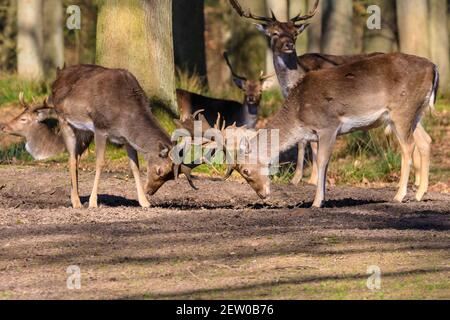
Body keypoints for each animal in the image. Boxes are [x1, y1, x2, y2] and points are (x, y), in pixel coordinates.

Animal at [41, 65, 195, 210]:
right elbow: (100, 163)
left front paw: (144, 202)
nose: (150, 191)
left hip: (84, 132)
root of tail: (57, 76)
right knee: (72, 159)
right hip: (63, 120)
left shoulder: (126, 139)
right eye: (159, 170)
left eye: (171, 177)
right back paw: (76, 202)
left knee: (77, 157)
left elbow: (135, 166)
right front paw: (93, 203)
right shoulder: (100, 127)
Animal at [216, 53, 438, 208]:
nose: (262, 194)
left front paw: (316, 202)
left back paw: (399, 196)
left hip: (402, 111)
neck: (298, 113)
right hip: (414, 113)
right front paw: (322, 199)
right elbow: (325, 162)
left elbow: (322, 161)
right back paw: (419, 194)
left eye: (245, 170)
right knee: (425, 141)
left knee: (408, 146)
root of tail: (434, 67)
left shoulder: (328, 126)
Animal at [230, 0, 428, 188]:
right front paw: (299, 179)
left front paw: (309, 180)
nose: (289, 44)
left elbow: (309, 143)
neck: (295, 79)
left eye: (295, 33)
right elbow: (304, 141)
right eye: (274, 33)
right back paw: (418, 182)